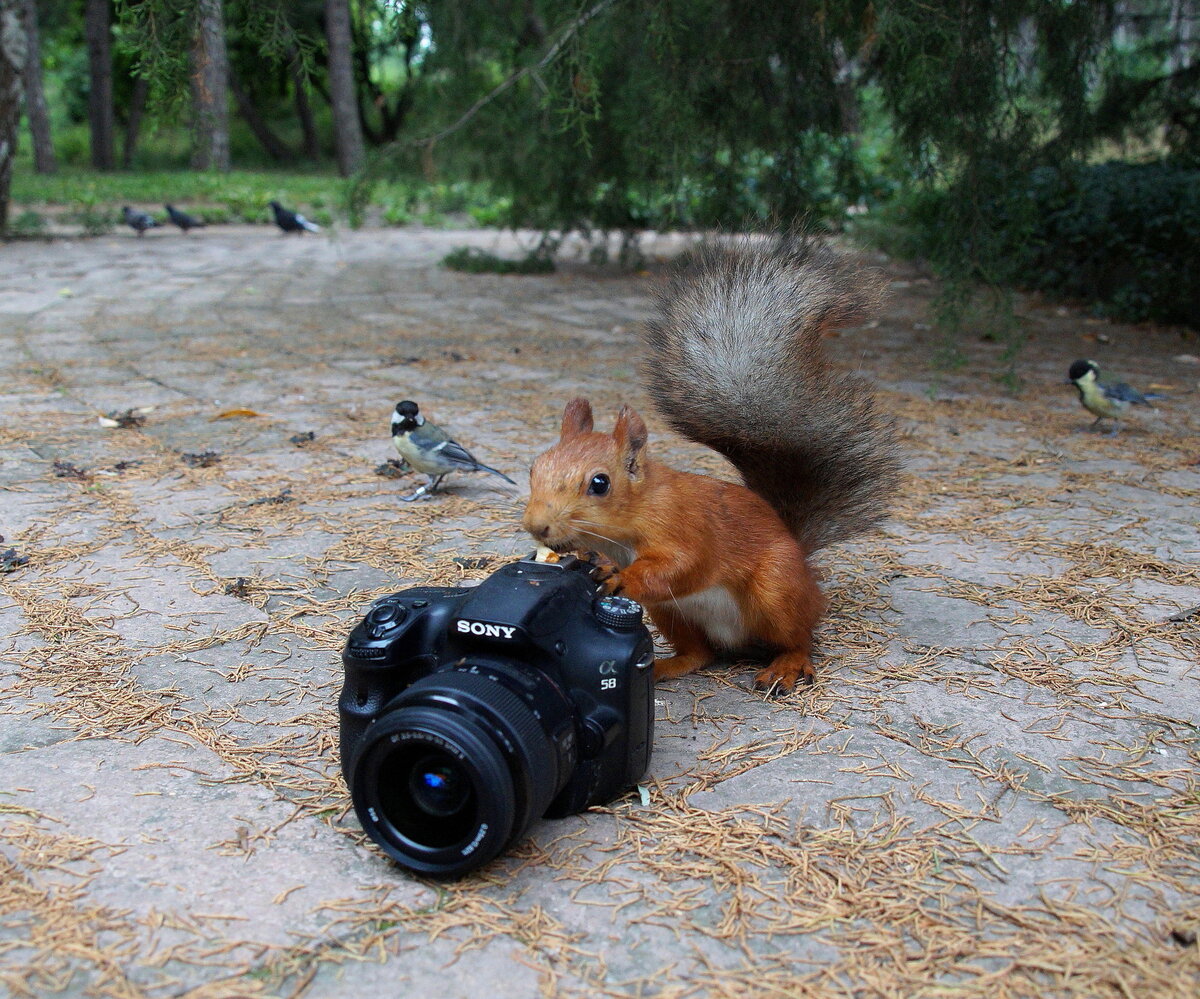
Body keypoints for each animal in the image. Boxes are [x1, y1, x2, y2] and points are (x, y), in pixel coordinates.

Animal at [521, 236, 901, 692]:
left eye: (600, 483)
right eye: (534, 468)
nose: (536, 526)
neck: (626, 525)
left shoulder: (685, 523)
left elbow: (685, 564)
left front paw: (620, 577)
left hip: (778, 589)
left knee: (800, 636)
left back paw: (788, 664)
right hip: (671, 612)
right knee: (701, 653)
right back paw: (666, 666)